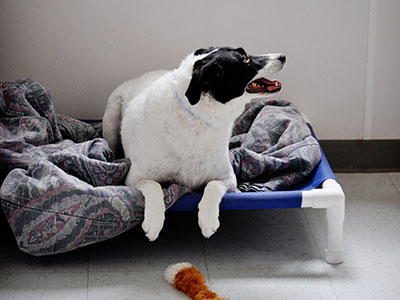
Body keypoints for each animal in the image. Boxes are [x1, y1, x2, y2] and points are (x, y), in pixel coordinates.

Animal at [103, 48, 284, 243]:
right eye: (244, 59)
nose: (283, 56)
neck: (197, 116)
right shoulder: (134, 177)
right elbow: (154, 186)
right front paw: (154, 221)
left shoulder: (228, 177)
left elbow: (213, 186)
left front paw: (207, 218)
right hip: (111, 119)